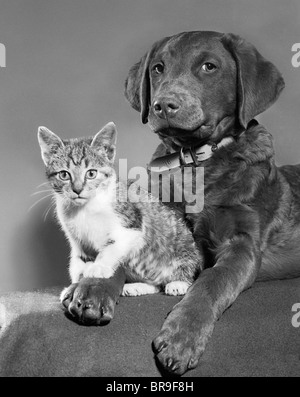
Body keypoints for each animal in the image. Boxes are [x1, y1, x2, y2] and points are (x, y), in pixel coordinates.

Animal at [37, 121, 202, 296]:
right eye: (64, 175)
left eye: (91, 173)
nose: (77, 189)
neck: (85, 209)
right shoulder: (77, 239)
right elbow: (78, 261)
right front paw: (74, 286)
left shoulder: (131, 224)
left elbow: (112, 247)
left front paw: (98, 267)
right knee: (157, 285)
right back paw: (137, 286)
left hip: (183, 243)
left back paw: (179, 283)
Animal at [62, 31, 300, 374]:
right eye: (158, 68)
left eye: (209, 66)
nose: (163, 105)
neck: (193, 161)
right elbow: (114, 257)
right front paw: (94, 287)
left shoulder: (242, 244)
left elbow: (212, 281)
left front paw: (182, 336)